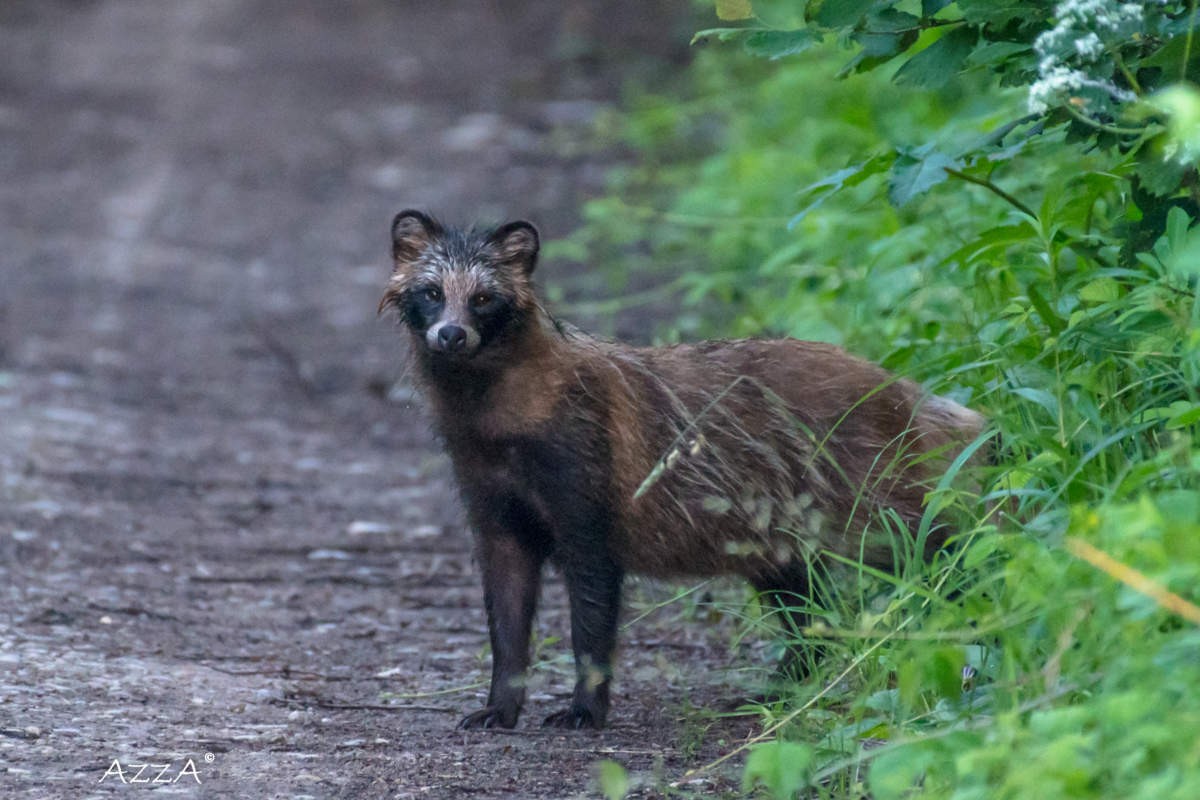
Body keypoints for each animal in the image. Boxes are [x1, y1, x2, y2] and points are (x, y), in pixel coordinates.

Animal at [376, 209, 984, 729]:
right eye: (431, 292)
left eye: (483, 298)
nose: (451, 334)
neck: (495, 423)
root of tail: (910, 391)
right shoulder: (489, 495)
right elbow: (505, 614)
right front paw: (499, 705)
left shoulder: (584, 472)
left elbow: (592, 606)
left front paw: (584, 708)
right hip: (776, 521)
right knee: (809, 611)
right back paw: (780, 689)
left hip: (871, 487)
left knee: (941, 546)